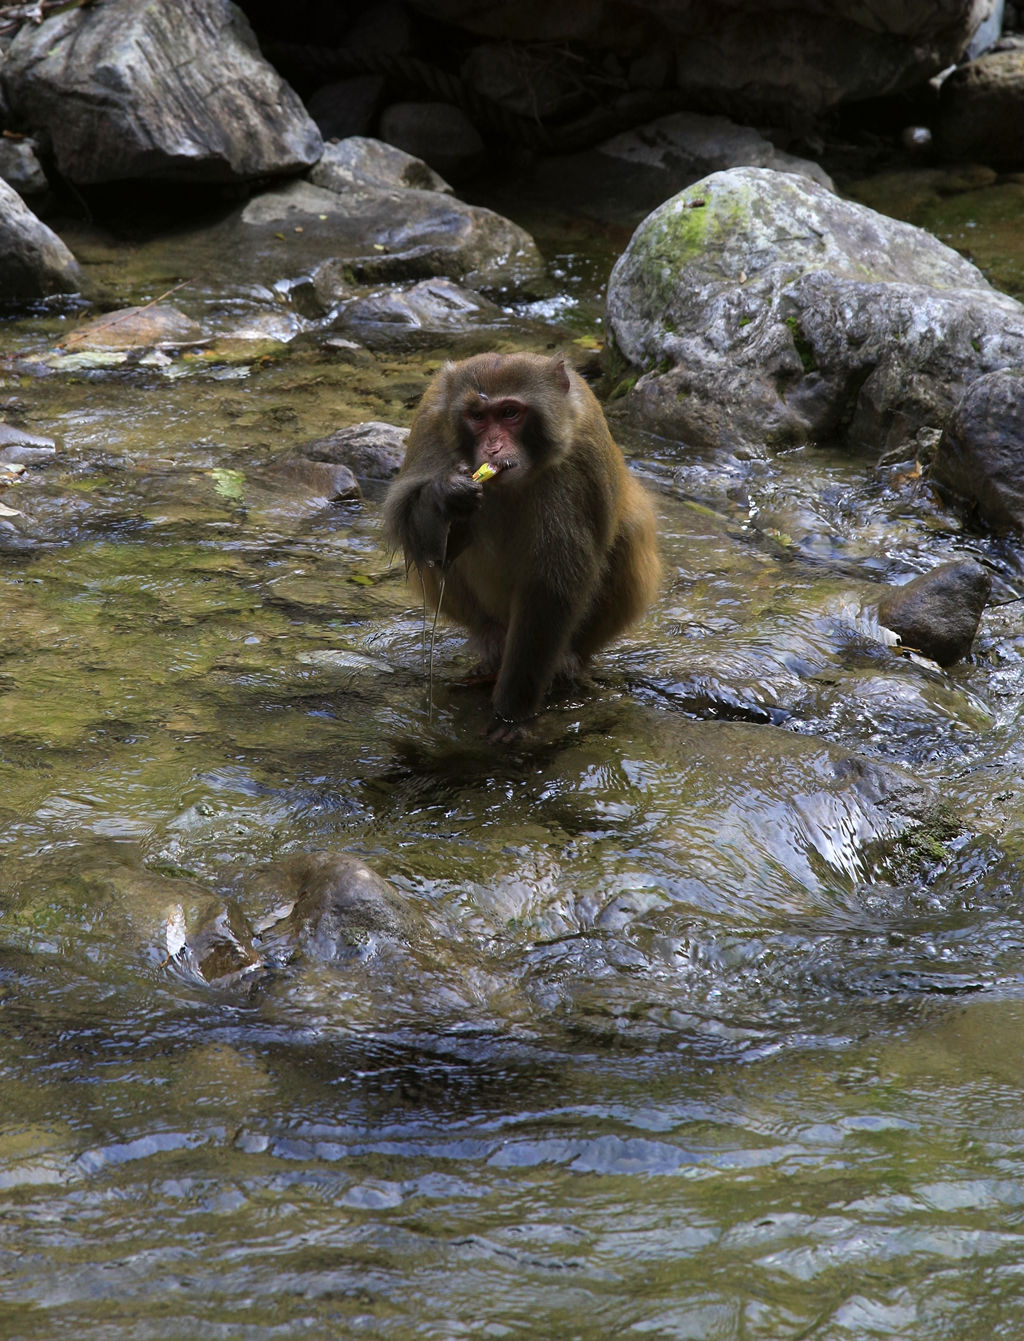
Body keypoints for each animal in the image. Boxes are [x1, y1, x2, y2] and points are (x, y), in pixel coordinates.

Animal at [380, 351, 659, 740]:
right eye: (478, 416)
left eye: (510, 413)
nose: (493, 448)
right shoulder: (430, 424)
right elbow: (420, 537)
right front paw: (447, 494)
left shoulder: (582, 454)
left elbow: (552, 588)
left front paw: (511, 715)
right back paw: (491, 647)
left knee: (629, 532)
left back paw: (566, 663)